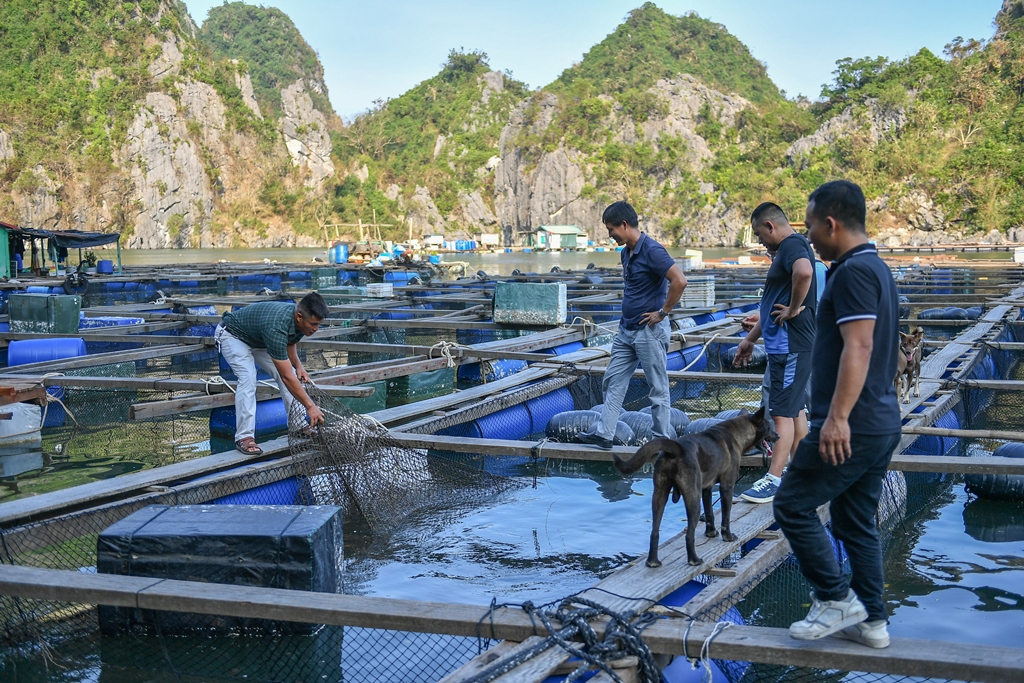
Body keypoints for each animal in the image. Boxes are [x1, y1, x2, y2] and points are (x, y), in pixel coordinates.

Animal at [614, 409, 774, 569]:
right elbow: (726, 517)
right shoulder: (727, 486)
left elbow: (709, 513)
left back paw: (653, 562)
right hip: (693, 500)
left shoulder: (707, 488)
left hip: (660, 495)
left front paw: (711, 533)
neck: (735, 433)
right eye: (769, 427)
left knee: (655, 531)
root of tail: (676, 449)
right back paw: (694, 560)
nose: (777, 436)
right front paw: (727, 536)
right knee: (689, 535)